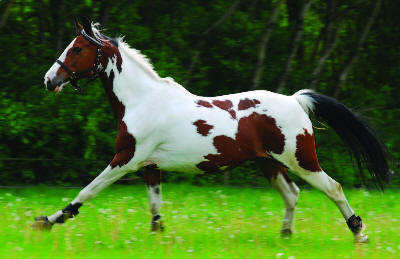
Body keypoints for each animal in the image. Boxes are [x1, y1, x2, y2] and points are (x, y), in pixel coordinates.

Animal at [35, 18, 390, 244]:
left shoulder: (126, 158)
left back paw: (358, 232)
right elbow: (154, 207)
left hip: (300, 160)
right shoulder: (150, 167)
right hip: (268, 163)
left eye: (77, 49)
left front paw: (47, 222)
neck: (142, 101)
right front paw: (157, 238)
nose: (50, 80)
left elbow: (87, 191)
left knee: (334, 188)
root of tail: (295, 100)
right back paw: (285, 236)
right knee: (292, 194)